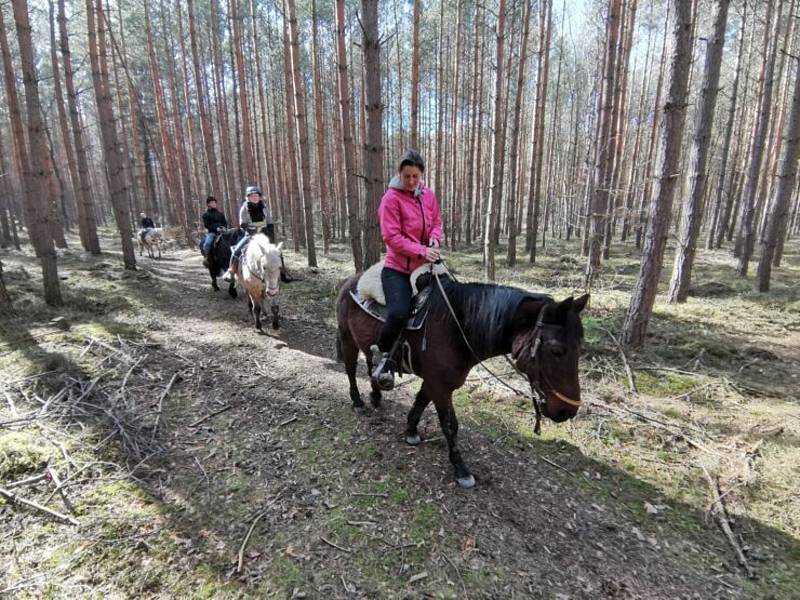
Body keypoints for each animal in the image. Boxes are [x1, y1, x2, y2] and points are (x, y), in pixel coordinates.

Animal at [334, 272, 592, 488]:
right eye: (556, 350)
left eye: (580, 347)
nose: (568, 411)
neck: (457, 326)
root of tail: (349, 281)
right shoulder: (440, 386)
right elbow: (450, 425)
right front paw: (461, 470)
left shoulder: (435, 382)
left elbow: (420, 403)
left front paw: (411, 431)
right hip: (347, 339)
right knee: (350, 370)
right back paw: (357, 401)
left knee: (371, 364)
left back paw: (376, 395)